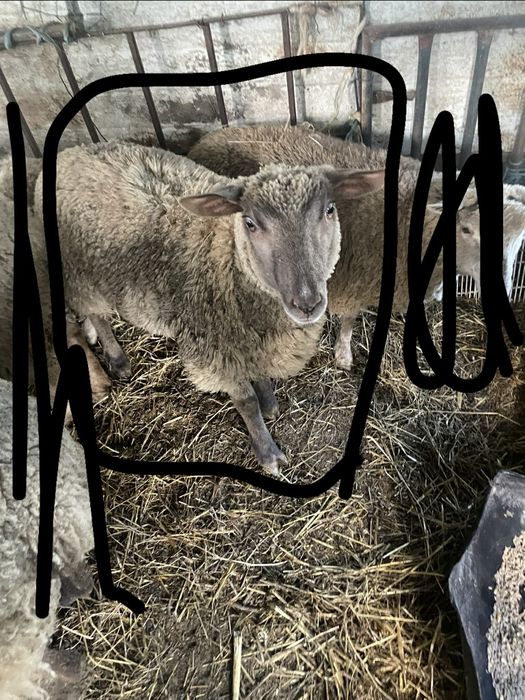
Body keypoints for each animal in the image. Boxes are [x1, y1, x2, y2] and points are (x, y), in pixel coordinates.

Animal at [33, 140, 384, 473]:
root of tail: (70, 152)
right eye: (250, 223)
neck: (229, 259)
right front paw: (267, 452)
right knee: (97, 314)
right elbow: (246, 403)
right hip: (79, 273)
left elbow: (260, 377)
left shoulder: (252, 339)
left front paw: (269, 402)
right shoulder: (215, 349)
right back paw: (118, 360)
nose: (307, 301)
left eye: (329, 209)